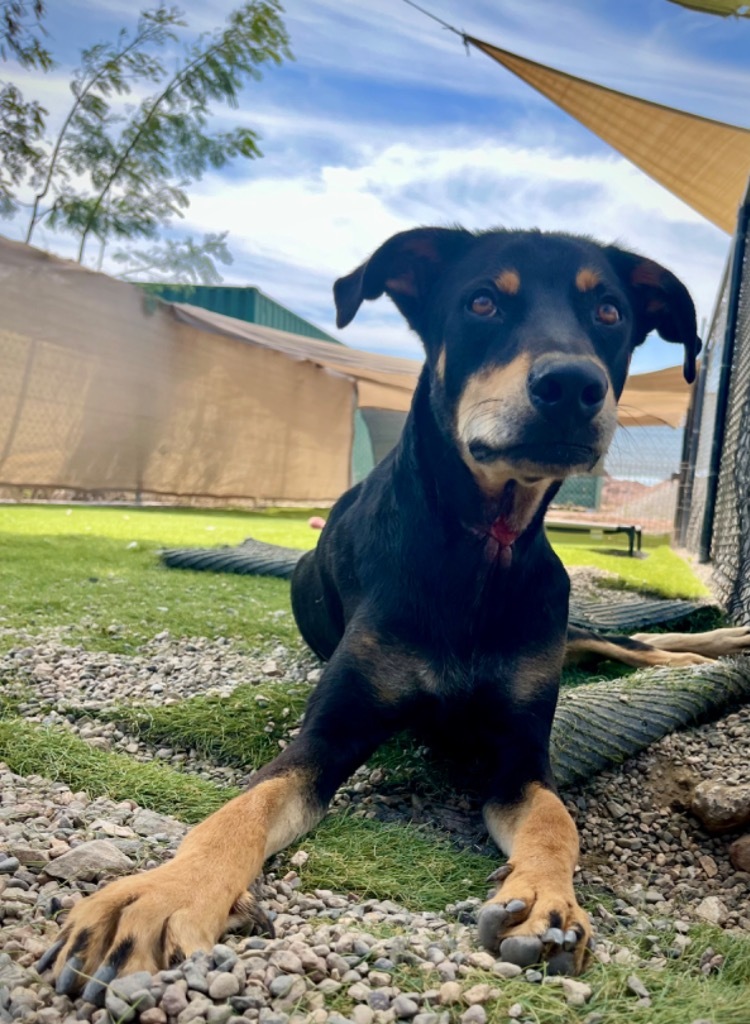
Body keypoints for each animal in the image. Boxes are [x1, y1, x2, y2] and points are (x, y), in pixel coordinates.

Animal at [44, 228, 745, 995]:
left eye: (610, 312)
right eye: (481, 301)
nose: (571, 386)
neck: (478, 550)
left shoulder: (520, 755)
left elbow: (557, 822)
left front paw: (548, 906)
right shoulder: (327, 735)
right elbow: (240, 809)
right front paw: (164, 892)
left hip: (557, 611)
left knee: (623, 643)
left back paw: (704, 649)